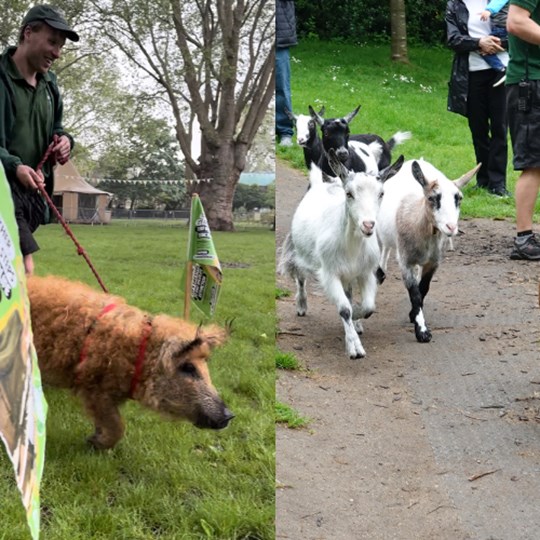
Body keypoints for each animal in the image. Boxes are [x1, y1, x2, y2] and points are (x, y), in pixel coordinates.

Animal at [280, 148, 402, 358]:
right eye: (349, 194)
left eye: (381, 193)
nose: (368, 225)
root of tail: (324, 182)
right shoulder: (330, 273)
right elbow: (344, 309)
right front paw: (355, 349)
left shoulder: (366, 273)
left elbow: (368, 307)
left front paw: (357, 318)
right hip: (299, 251)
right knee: (300, 277)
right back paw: (302, 305)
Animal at [376, 158, 480, 342]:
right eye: (432, 198)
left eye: (459, 198)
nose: (451, 227)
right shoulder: (405, 261)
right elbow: (414, 293)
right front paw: (422, 331)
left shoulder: (433, 262)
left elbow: (423, 289)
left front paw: (414, 315)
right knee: (384, 247)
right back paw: (380, 272)